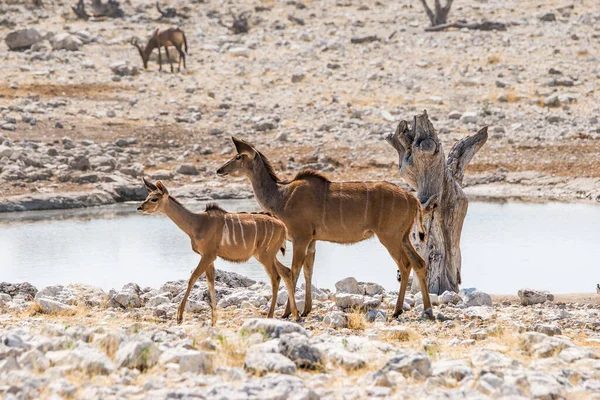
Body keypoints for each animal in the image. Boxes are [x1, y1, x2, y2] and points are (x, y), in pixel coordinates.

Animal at [137, 178, 298, 324]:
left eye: (154, 199)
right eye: (147, 196)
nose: (139, 208)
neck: (197, 223)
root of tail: (282, 226)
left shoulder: (208, 255)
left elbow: (193, 278)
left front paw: (179, 316)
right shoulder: (209, 257)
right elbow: (210, 282)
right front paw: (213, 320)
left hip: (265, 255)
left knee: (275, 277)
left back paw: (270, 316)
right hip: (265, 255)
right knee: (286, 271)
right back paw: (295, 314)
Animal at [218, 138, 434, 318]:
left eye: (238, 156)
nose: (219, 170)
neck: (282, 196)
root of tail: (412, 198)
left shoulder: (301, 238)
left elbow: (294, 271)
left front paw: (288, 313)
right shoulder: (312, 241)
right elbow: (308, 270)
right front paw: (305, 310)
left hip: (389, 238)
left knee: (404, 265)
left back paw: (398, 311)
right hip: (403, 237)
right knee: (419, 262)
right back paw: (427, 309)